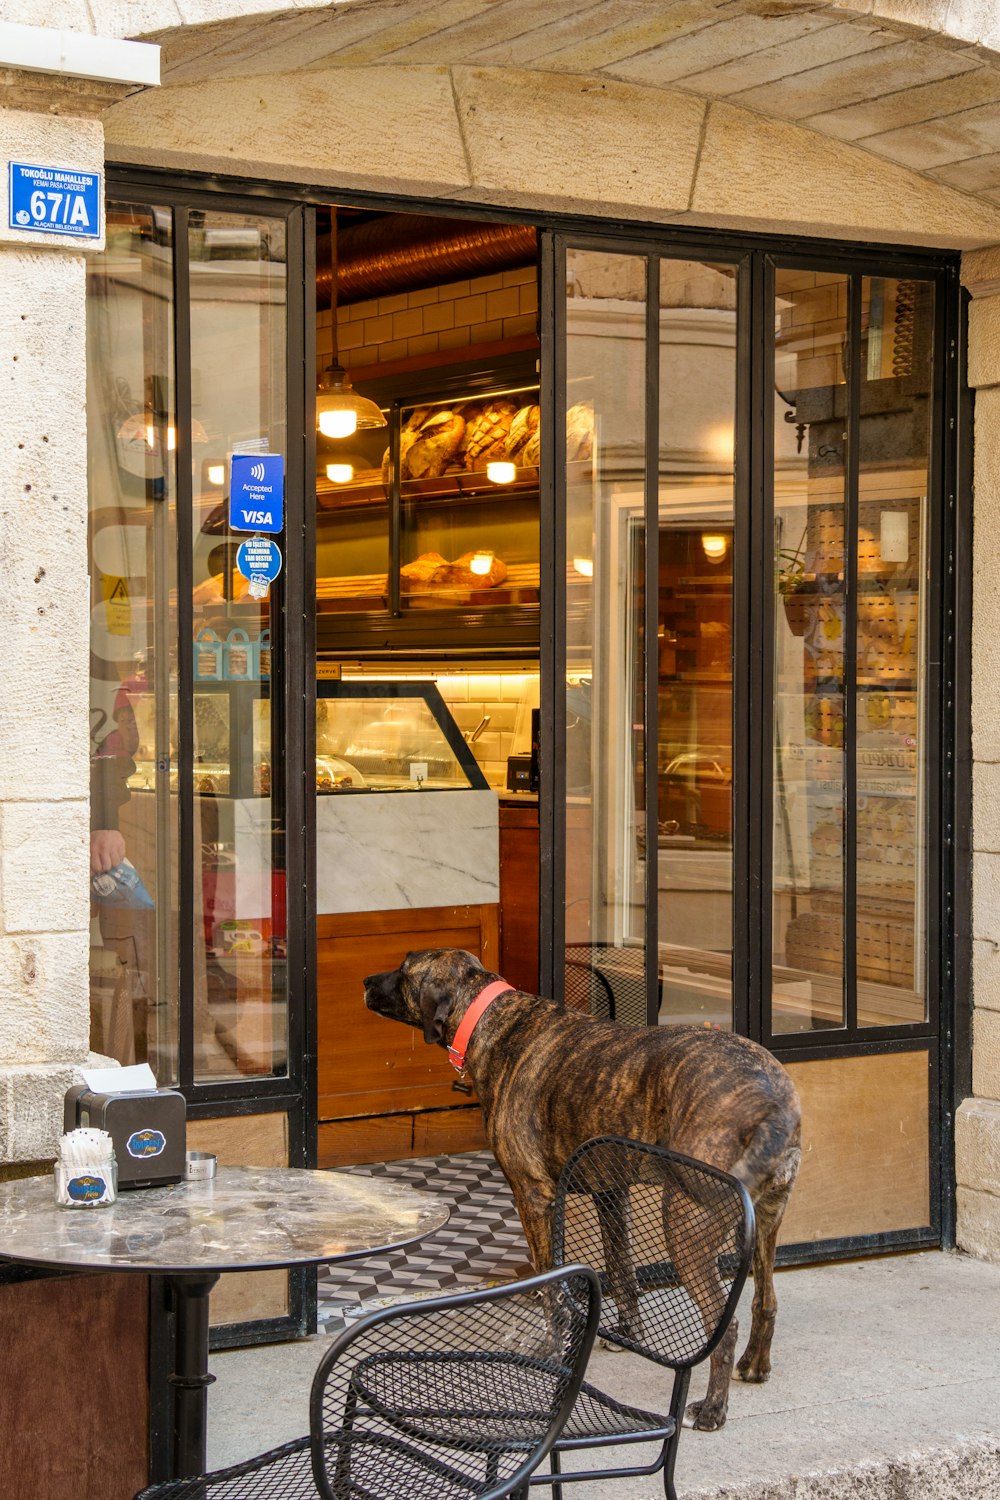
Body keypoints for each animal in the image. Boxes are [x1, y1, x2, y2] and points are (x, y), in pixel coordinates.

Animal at [364, 948, 803, 1428]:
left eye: (404, 969)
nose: (365, 982)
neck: (492, 1017)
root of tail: (771, 1102)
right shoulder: (611, 1193)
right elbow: (622, 1270)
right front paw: (628, 1332)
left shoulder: (533, 1197)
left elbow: (551, 1288)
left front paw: (551, 1350)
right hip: (766, 1221)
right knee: (766, 1300)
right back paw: (755, 1366)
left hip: (685, 1226)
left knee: (724, 1328)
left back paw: (711, 1409)